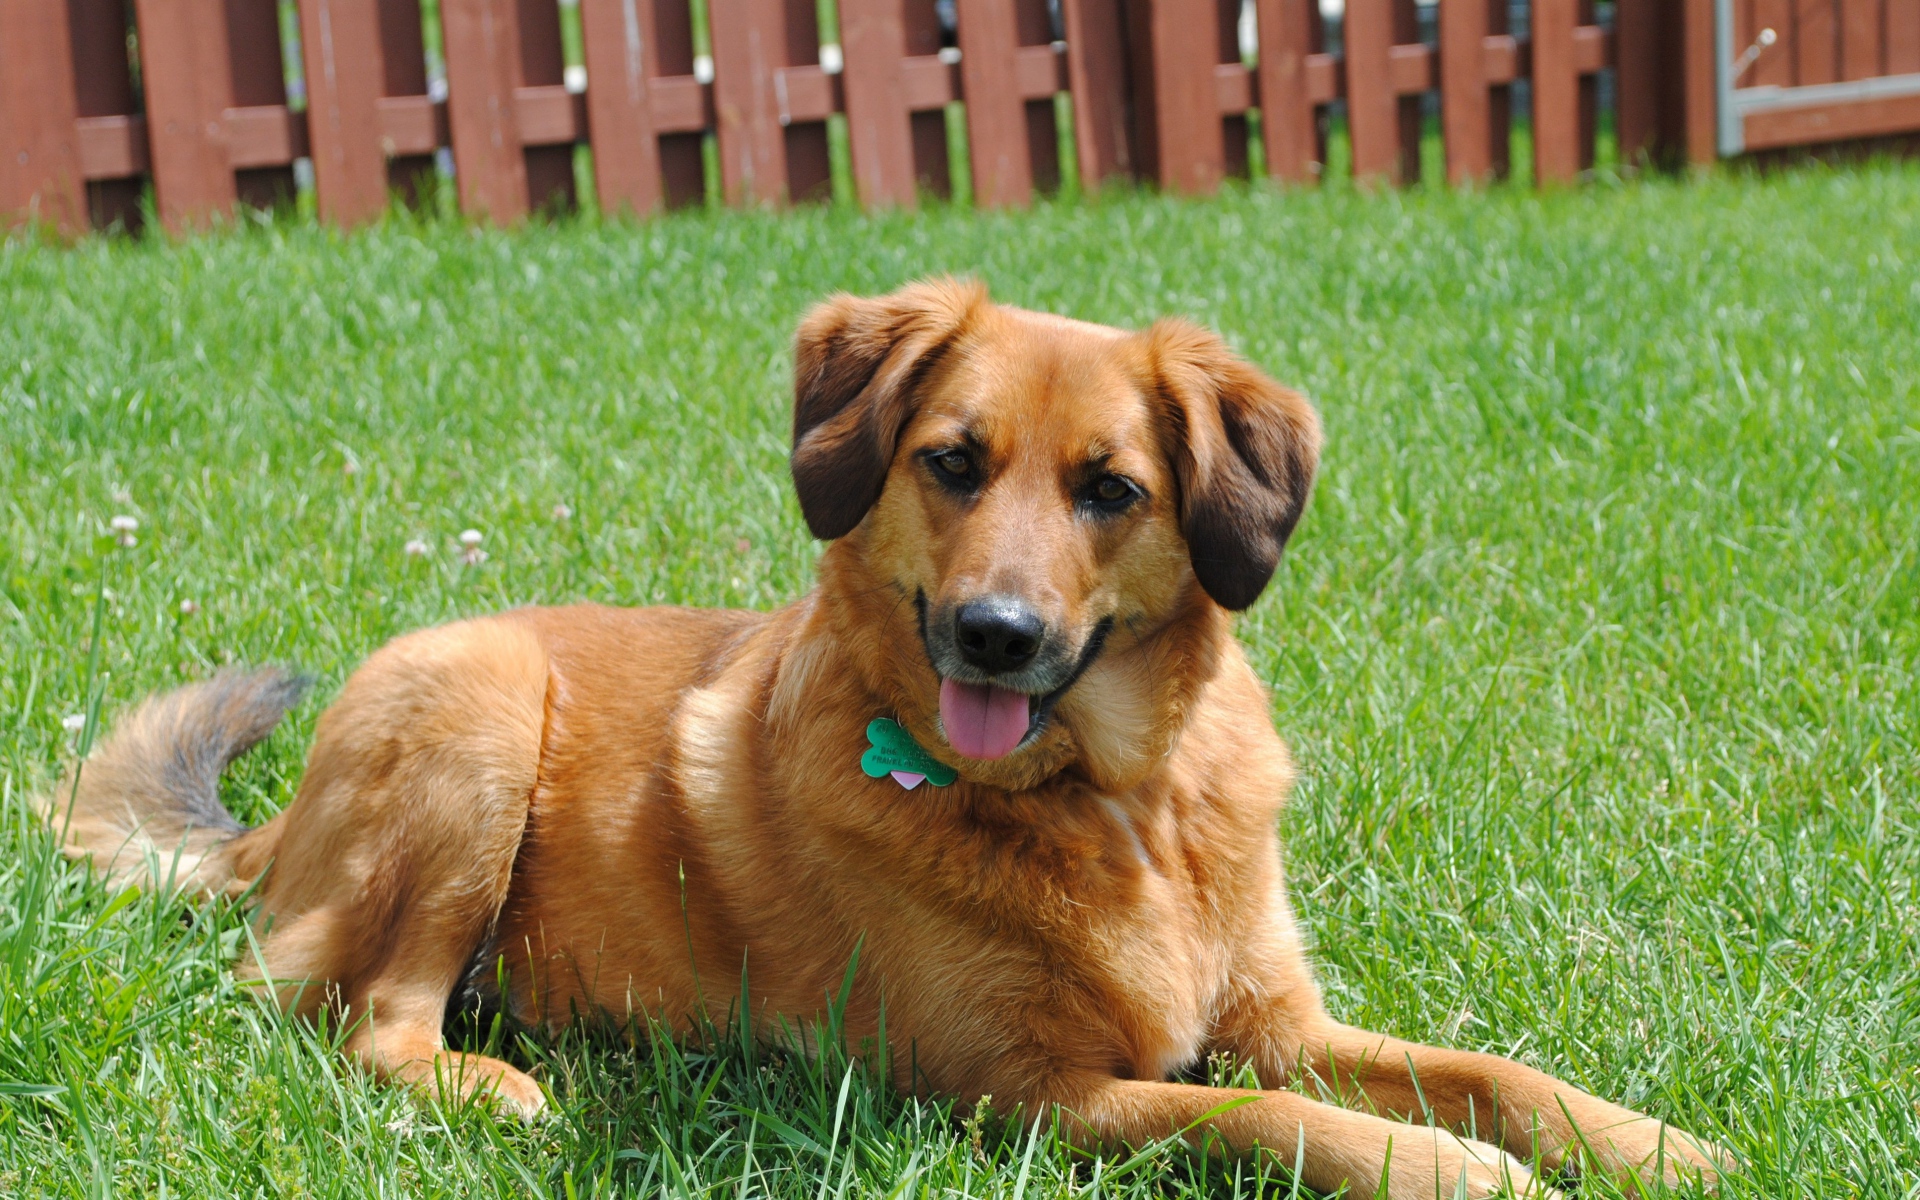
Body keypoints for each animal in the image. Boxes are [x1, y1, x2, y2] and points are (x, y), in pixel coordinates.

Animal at [52, 278, 1720, 1190]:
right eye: (953, 462)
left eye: (1111, 490)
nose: (996, 635)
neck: (1113, 802)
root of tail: (282, 824)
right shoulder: (1031, 1096)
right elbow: (1270, 1122)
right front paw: (1451, 1173)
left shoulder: (1281, 1021)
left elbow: (1491, 1072)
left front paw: (1650, 1144)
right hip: (476, 725)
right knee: (355, 1019)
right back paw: (495, 1086)